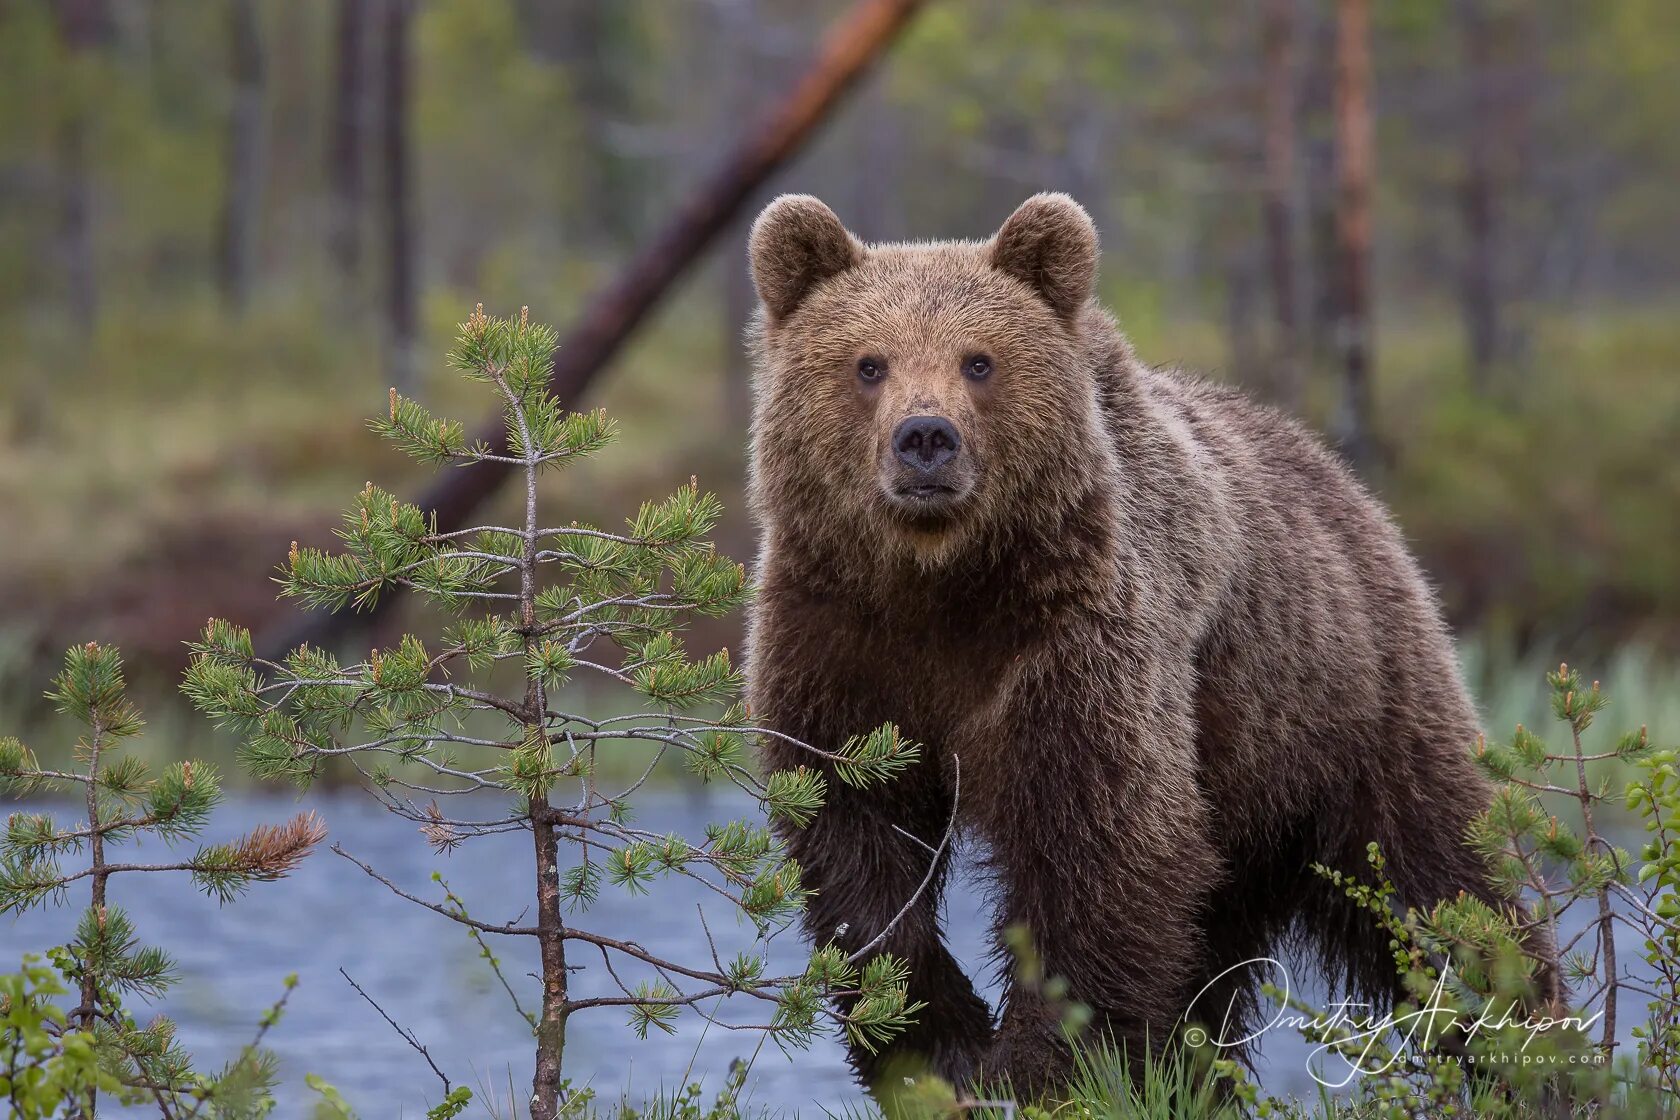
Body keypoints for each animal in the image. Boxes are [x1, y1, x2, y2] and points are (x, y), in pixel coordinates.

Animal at [742, 193, 1532, 1094]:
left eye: (979, 361)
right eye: (868, 363)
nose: (926, 438)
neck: (943, 583)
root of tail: (1345, 483)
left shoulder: (1077, 641)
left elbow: (1102, 843)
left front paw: (1049, 1060)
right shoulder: (840, 639)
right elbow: (854, 834)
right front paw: (934, 1041)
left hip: (1349, 706)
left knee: (1440, 881)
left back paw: (1530, 1045)